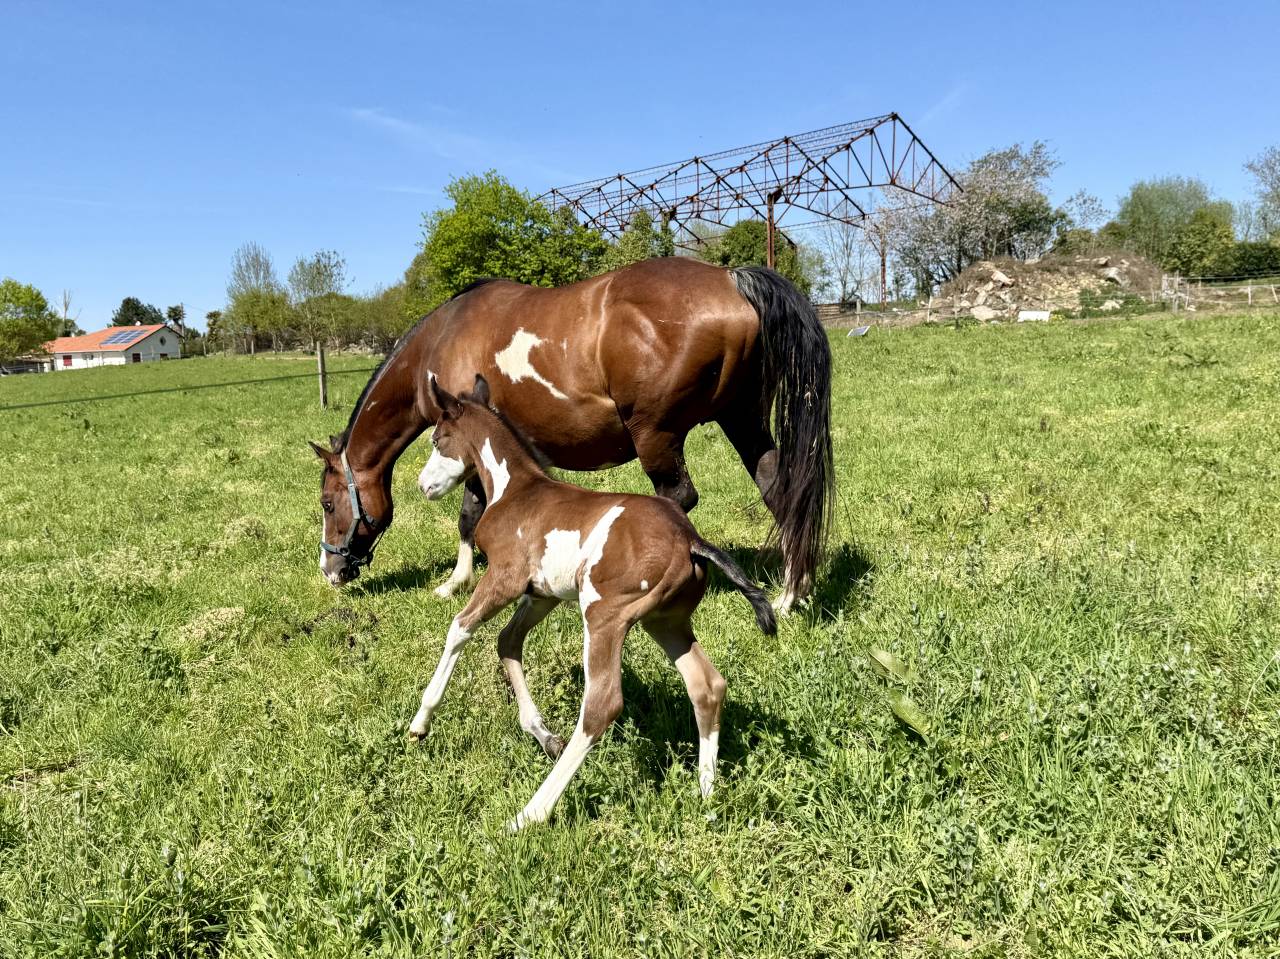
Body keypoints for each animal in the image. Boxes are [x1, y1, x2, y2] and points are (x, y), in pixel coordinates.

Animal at [311, 256, 833, 612]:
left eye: (328, 504)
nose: (330, 571)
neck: (440, 342)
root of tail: (730, 279)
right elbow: (473, 514)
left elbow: (468, 516)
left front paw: (453, 582)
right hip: (742, 421)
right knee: (780, 490)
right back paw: (793, 593)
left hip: (656, 434)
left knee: (677, 497)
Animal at [410, 373, 777, 829]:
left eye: (438, 439)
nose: (423, 486)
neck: (516, 490)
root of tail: (690, 539)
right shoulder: (542, 595)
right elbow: (507, 642)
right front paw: (544, 735)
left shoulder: (505, 578)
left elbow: (460, 628)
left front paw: (420, 723)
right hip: (667, 621)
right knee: (707, 685)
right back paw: (707, 793)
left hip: (605, 614)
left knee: (602, 705)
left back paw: (530, 813)